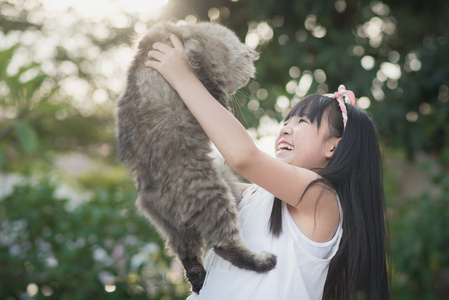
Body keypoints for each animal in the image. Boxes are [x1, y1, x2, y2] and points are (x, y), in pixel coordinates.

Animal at [114, 22, 276, 294]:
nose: (236, 89)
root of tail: (152, 196)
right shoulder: (204, 74)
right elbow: (216, 96)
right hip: (217, 192)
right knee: (224, 245)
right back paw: (263, 261)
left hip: (178, 232)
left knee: (190, 260)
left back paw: (199, 284)